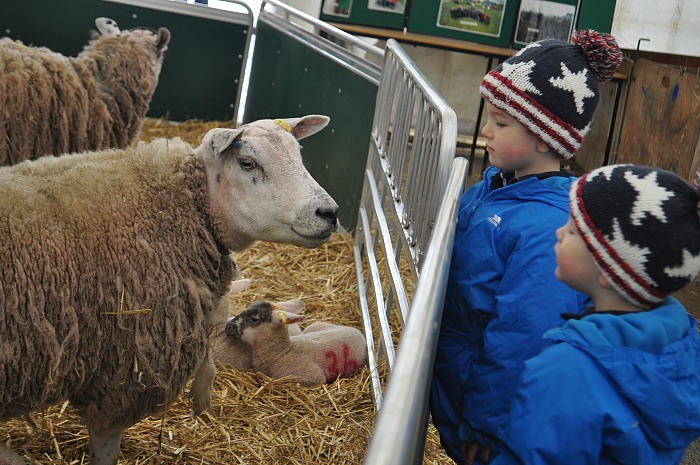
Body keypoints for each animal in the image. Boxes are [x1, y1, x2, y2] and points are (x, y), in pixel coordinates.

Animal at [0, 113, 340, 464]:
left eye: (298, 155)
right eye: (247, 163)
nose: (329, 213)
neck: (187, 203)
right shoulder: (122, 372)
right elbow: (106, 444)